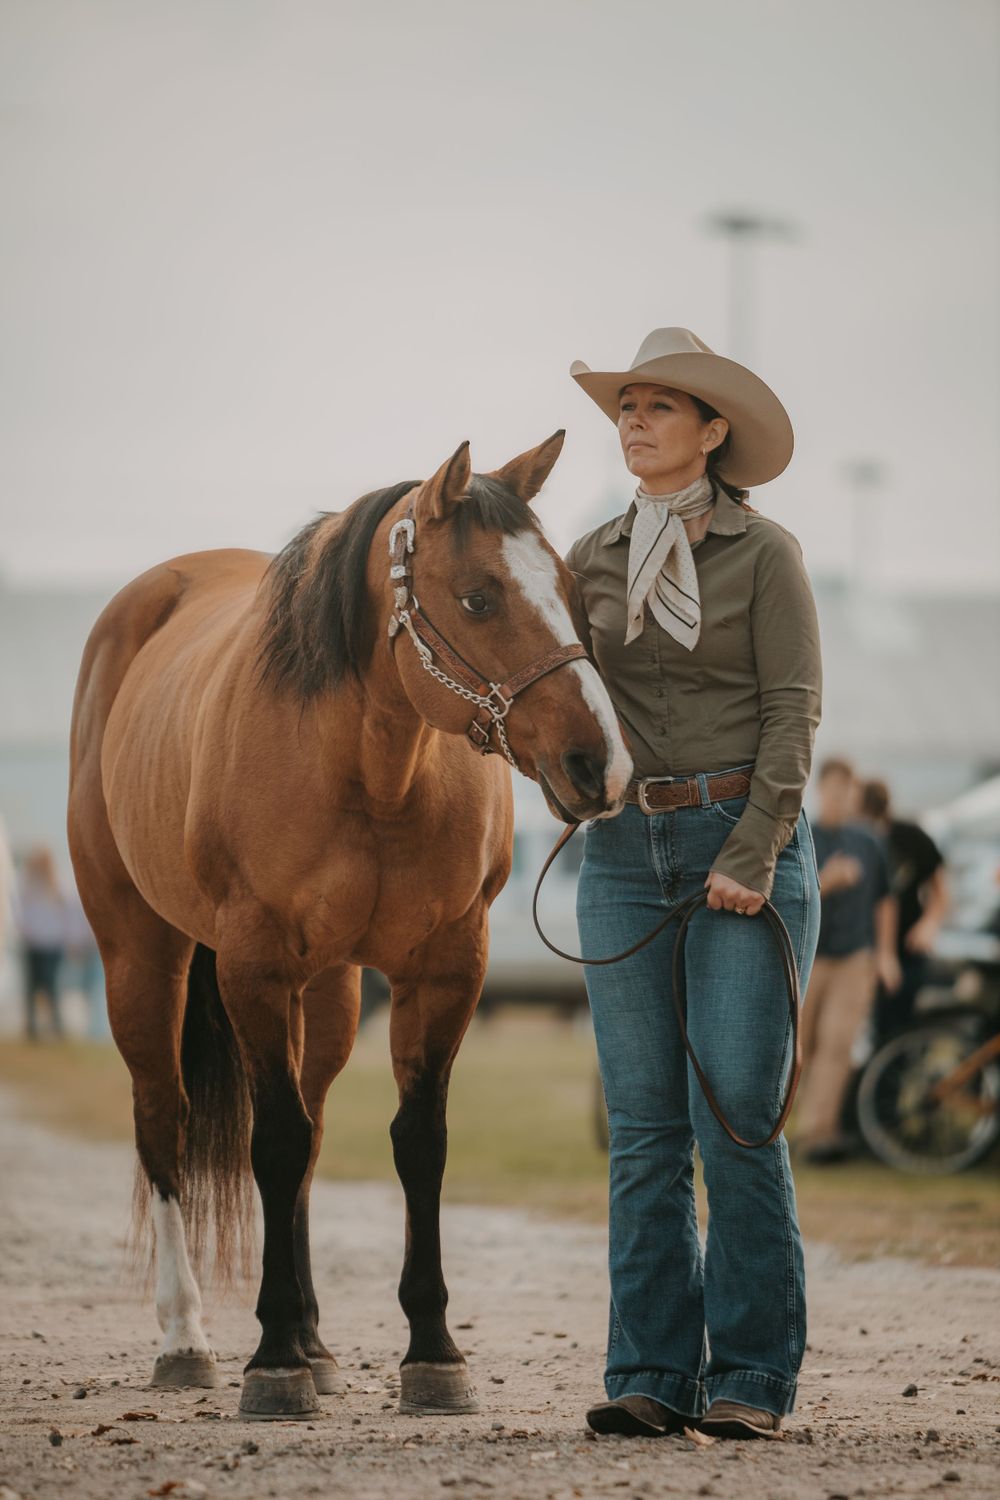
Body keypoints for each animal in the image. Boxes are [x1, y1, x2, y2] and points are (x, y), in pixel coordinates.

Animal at [67, 432, 633, 1420]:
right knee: (166, 1121)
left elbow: (414, 1142)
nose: (598, 764)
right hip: (142, 954)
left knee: (312, 1123)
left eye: (566, 585)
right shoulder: (251, 967)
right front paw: (271, 1365)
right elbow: (272, 1142)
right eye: (478, 596)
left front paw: (431, 1352)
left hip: (329, 990)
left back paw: (314, 1341)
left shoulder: (445, 968)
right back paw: (189, 1339)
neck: (372, 768)